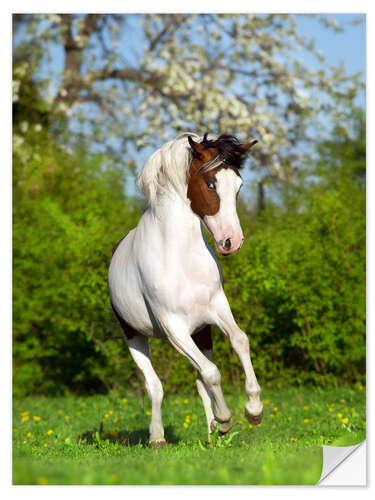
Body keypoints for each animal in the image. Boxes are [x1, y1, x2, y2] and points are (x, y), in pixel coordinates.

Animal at [107, 133, 262, 450]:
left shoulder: (217, 310)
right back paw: (157, 437)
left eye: (239, 185)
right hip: (134, 336)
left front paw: (253, 410)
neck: (181, 258)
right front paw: (226, 419)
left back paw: (212, 436)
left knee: (199, 381)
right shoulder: (173, 327)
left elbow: (240, 341)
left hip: (201, 333)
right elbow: (212, 372)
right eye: (211, 184)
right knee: (155, 385)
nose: (231, 241)